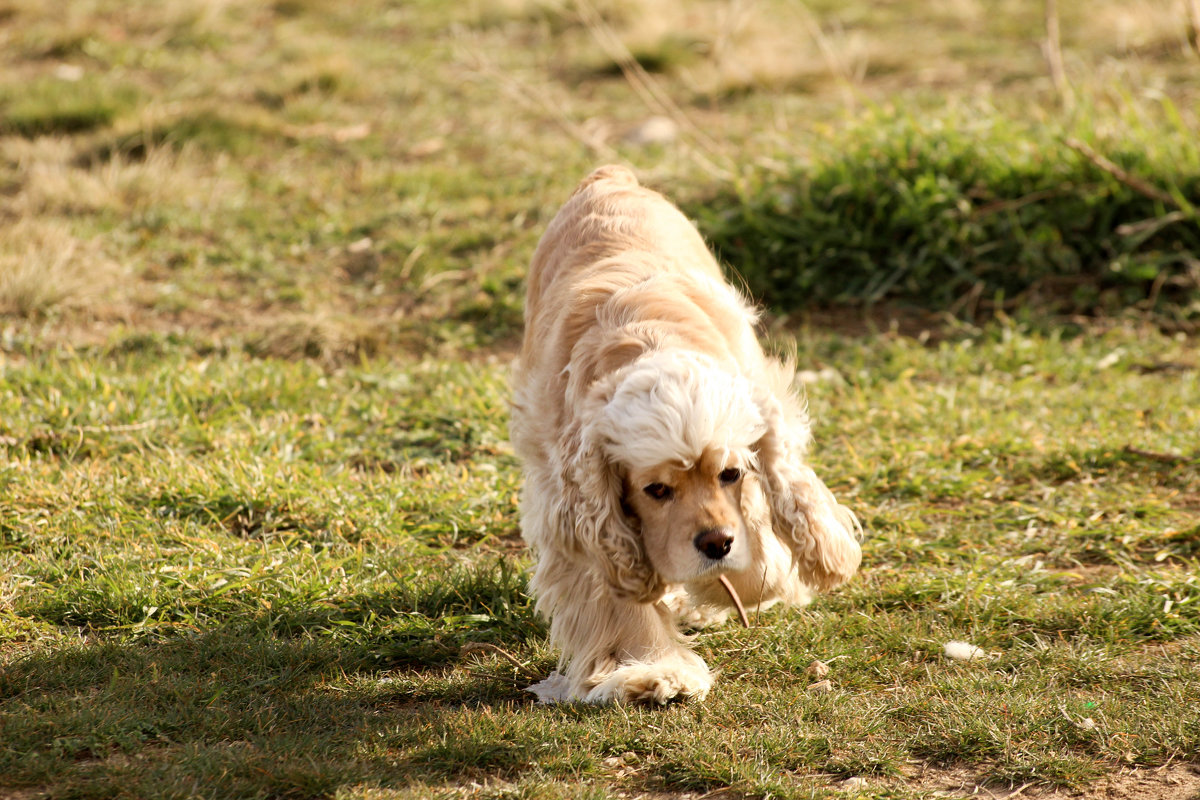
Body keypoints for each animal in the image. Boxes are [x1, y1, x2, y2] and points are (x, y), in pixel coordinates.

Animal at [508, 165, 864, 705]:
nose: (716, 544)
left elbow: (763, 545)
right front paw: (654, 671)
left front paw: (747, 581)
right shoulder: (574, 504)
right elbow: (617, 593)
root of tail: (609, 177)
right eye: (655, 490)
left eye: (731, 474)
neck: (650, 340)